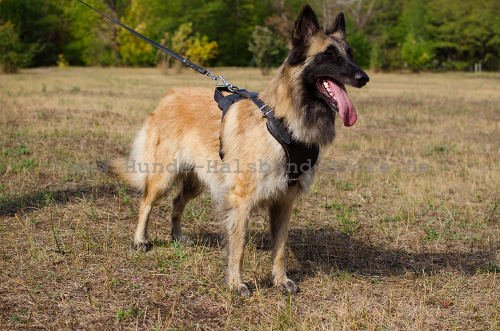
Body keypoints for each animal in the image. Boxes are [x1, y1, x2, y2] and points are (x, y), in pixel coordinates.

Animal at [109, 5, 368, 296]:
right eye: (328, 54)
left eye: (350, 54)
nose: (364, 77)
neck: (283, 122)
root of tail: (169, 95)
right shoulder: (242, 201)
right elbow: (239, 244)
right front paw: (236, 283)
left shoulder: (284, 201)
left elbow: (281, 248)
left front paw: (280, 280)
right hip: (164, 175)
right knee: (146, 202)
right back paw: (140, 240)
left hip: (198, 181)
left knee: (176, 203)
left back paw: (177, 236)